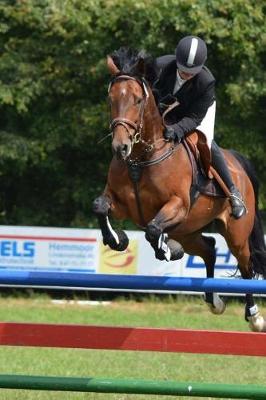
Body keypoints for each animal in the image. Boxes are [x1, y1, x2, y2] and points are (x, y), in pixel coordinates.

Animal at [93, 47, 266, 332]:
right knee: (208, 249)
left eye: (138, 100)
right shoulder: (121, 204)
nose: (120, 148)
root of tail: (238, 163)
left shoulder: (177, 206)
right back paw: (214, 301)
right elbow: (99, 206)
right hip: (188, 231)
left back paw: (254, 315)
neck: (142, 158)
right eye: (110, 100)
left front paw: (165, 250)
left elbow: (153, 229)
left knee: (246, 266)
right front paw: (118, 240)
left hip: (236, 233)